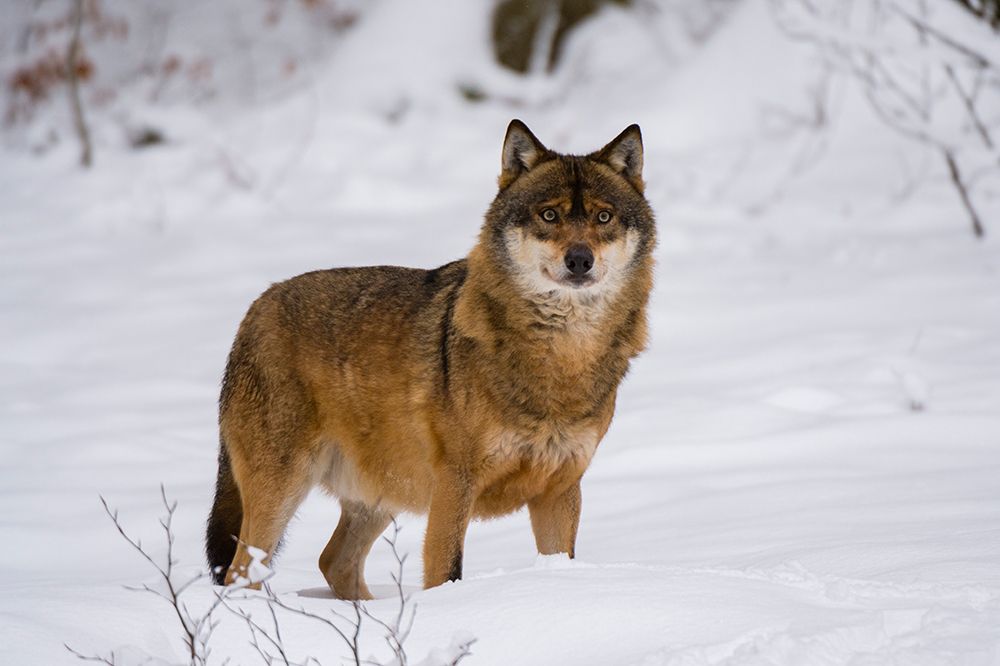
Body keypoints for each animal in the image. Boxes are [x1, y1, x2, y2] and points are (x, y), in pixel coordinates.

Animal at [206, 120, 656, 598]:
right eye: (549, 215)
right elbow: (447, 571)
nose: (579, 260)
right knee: (240, 573)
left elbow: (559, 562)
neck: (561, 357)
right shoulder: (454, 485)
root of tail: (255, 308)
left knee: (333, 561)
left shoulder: (561, 488)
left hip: (381, 497)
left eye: (603, 217)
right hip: (282, 492)